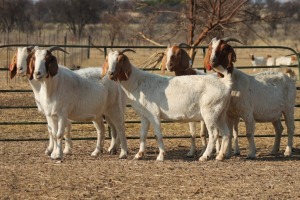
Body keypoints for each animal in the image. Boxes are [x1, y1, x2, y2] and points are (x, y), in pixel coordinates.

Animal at [104, 49, 233, 162]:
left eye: (120, 60)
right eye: (107, 60)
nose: (110, 73)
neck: (138, 83)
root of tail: (225, 83)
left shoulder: (154, 114)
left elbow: (158, 135)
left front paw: (161, 156)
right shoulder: (144, 115)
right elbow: (142, 134)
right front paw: (139, 155)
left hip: (209, 112)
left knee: (214, 134)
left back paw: (204, 156)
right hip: (220, 113)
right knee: (226, 133)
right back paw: (220, 156)